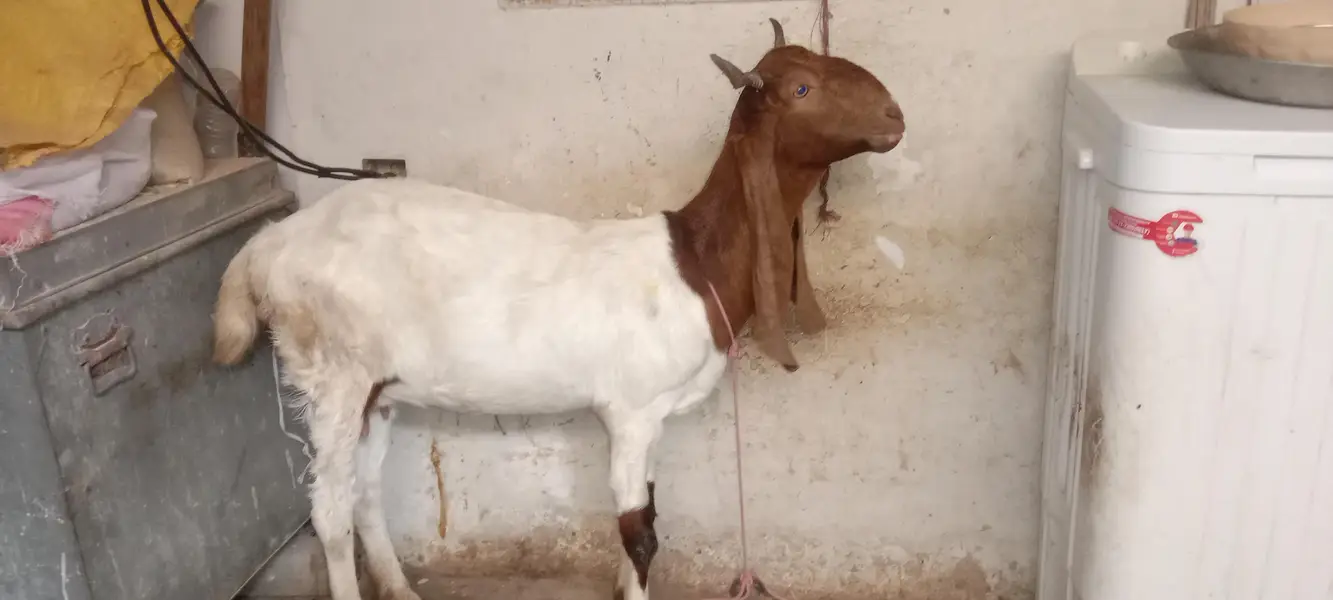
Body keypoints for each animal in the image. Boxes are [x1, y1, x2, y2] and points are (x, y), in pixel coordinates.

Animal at [211, 18, 903, 600]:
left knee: (364, 494)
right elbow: (640, 534)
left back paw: (401, 589)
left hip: (375, 390)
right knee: (328, 511)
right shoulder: (630, 409)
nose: (895, 116)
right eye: (803, 88)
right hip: (331, 374)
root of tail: (267, 245)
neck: (693, 262)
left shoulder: (647, 416)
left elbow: (647, 516)